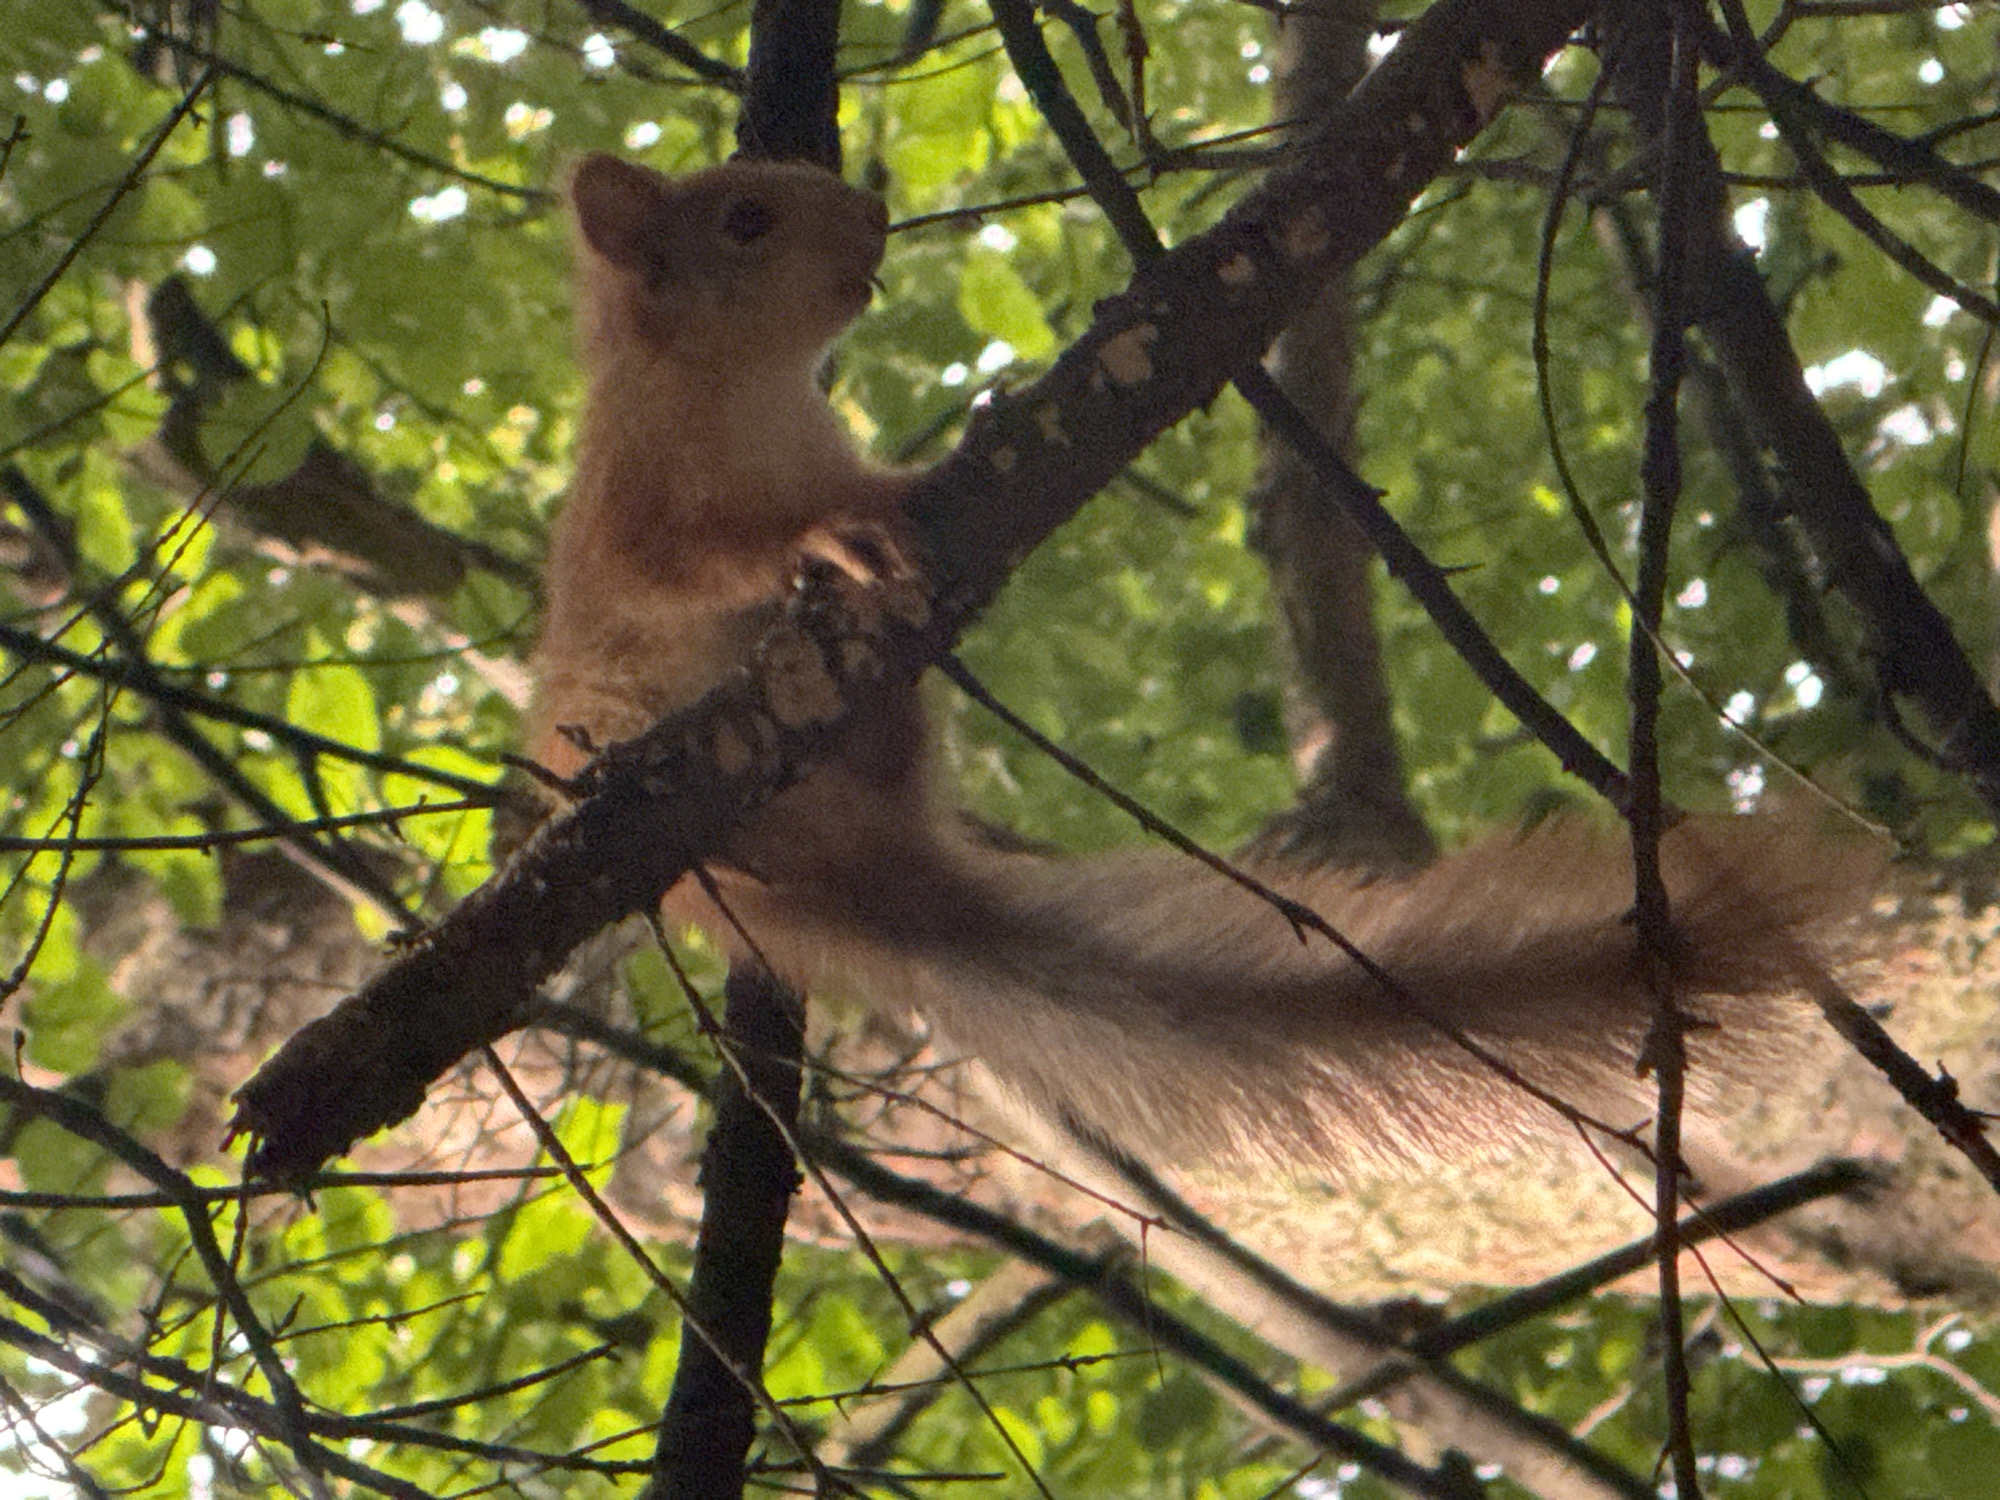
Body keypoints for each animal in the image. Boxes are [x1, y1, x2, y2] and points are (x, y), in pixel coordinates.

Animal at [530, 153, 1870, 1170]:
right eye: (743, 220)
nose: (872, 215)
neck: (752, 395)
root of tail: (863, 880)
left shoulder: (833, 453)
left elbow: (883, 491)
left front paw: (954, 452)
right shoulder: (628, 516)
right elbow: (691, 560)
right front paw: (811, 545)